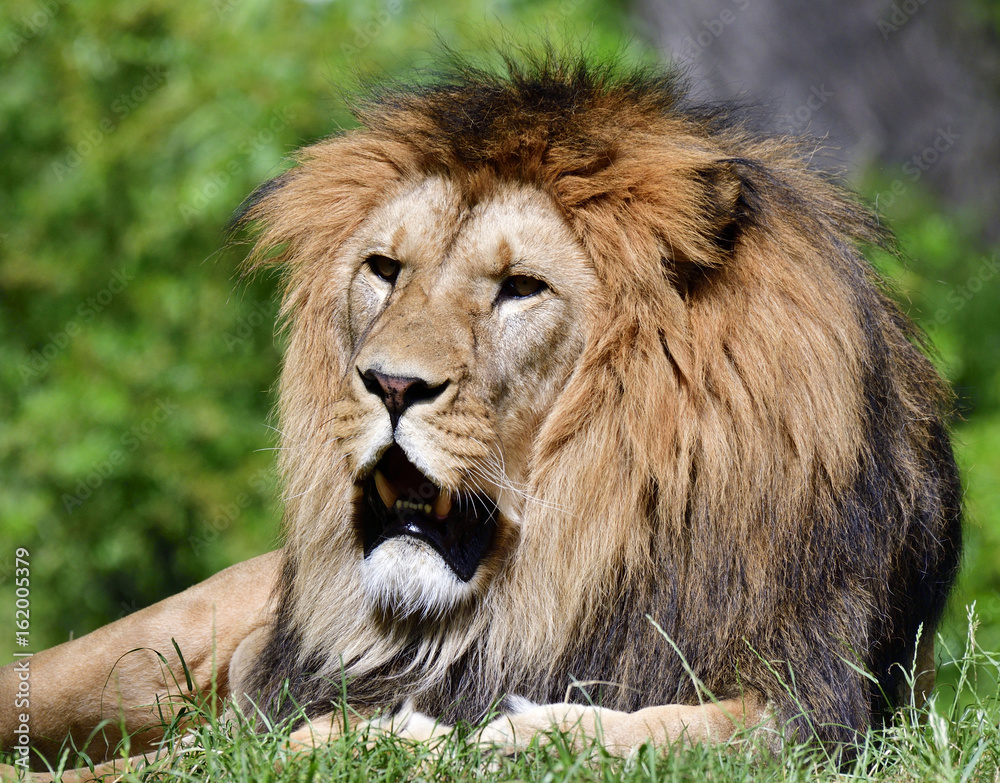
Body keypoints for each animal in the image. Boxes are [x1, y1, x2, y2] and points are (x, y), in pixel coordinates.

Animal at [3, 53, 964, 776]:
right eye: (385, 269)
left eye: (520, 288)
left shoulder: (825, 703)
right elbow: (186, 757)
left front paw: (521, 734)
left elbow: (701, 728)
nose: (389, 384)